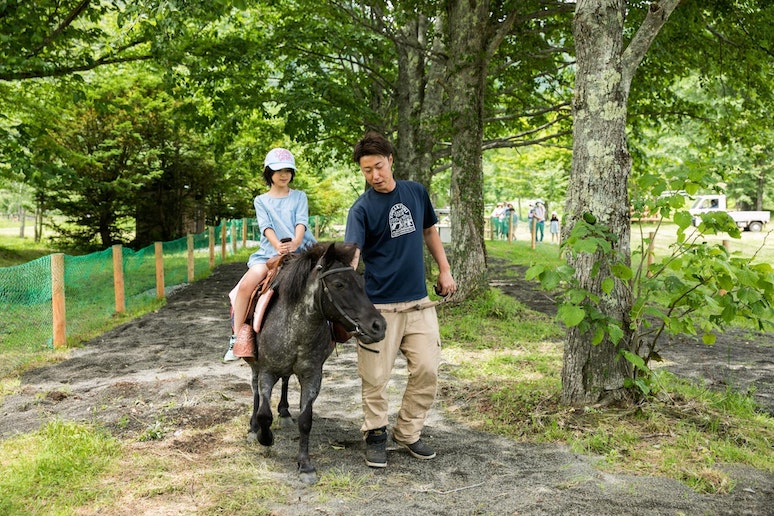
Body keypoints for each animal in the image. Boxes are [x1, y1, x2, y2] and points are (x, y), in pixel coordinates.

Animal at [247, 242, 386, 484]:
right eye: (339, 284)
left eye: (361, 284)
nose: (379, 326)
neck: (295, 327)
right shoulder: (267, 371)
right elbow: (265, 413)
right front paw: (265, 437)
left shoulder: (312, 376)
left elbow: (305, 420)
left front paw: (305, 465)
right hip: (255, 364)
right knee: (255, 389)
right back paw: (253, 427)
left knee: (285, 380)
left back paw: (285, 413)